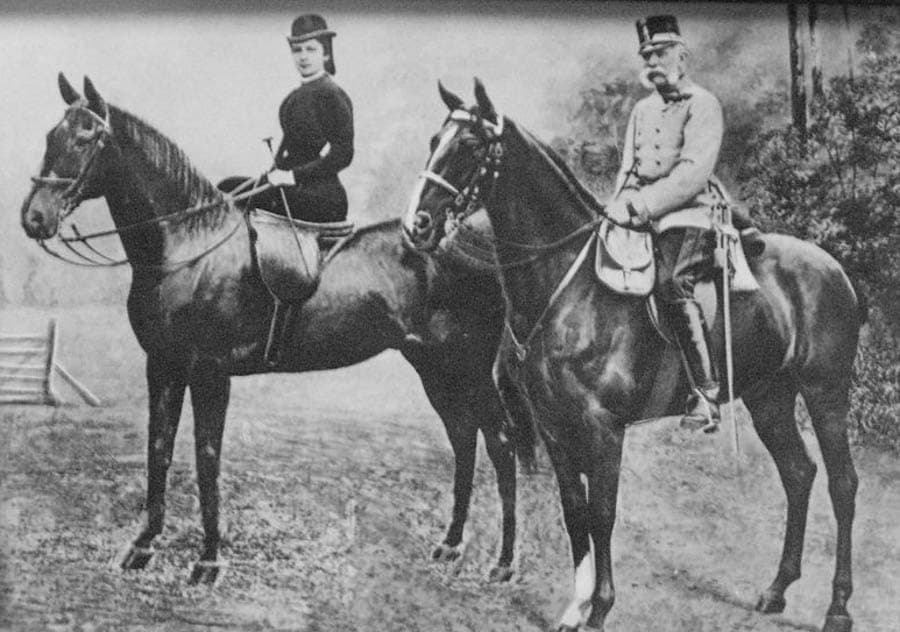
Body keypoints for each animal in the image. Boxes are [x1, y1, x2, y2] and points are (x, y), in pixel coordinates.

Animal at [20, 73, 532, 585]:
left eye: (86, 138)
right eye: (50, 136)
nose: (34, 218)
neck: (188, 247)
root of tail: (474, 243)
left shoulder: (210, 372)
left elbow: (207, 457)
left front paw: (208, 560)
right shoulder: (162, 365)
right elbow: (159, 448)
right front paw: (143, 546)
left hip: (468, 368)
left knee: (500, 442)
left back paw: (504, 562)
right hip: (433, 367)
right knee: (463, 437)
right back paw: (451, 544)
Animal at [402, 80, 862, 632]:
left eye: (470, 146)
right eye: (434, 141)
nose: (417, 224)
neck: (569, 287)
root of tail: (833, 269)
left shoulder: (604, 429)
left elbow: (602, 514)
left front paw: (600, 608)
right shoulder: (554, 426)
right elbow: (573, 510)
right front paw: (574, 606)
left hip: (825, 393)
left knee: (842, 484)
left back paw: (838, 607)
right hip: (769, 397)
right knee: (798, 474)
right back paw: (776, 591)